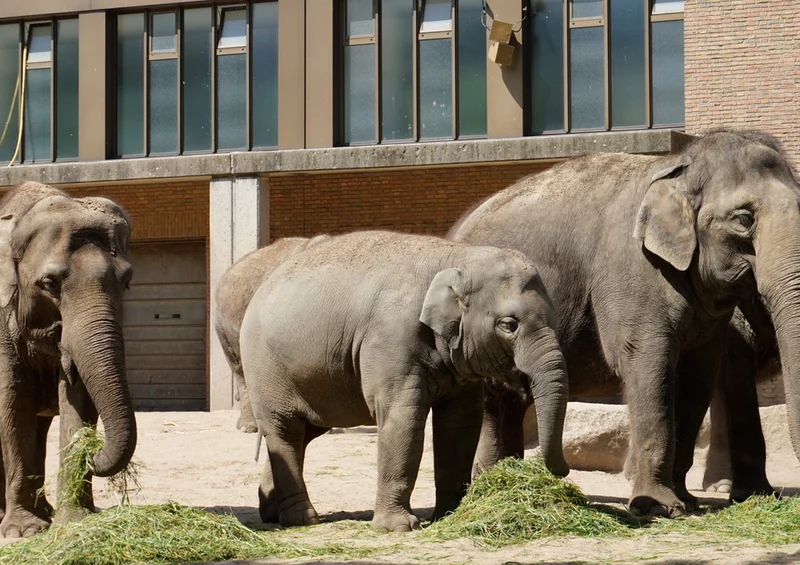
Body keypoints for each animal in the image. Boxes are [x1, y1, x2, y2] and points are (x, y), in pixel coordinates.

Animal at [0, 181, 136, 537]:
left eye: (127, 282)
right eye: (49, 284)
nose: (92, 450)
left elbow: (79, 397)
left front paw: (75, 521)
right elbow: (13, 403)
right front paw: (23, 531)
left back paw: (45, 512)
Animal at [239, 230, 569, 531]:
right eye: (509, 325)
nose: (562, 472)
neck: (456, 257)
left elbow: (461, 422)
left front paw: (449, 514)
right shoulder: (391, 339)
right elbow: (403, 418)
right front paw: (398, 527)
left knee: (305, 431)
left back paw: (272, 512)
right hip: (265, 367)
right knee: (285, 429)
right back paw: (303, 520)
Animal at [449, 130, 800, 517]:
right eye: (743, 219)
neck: (679, 169)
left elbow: (697, 379)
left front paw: (687, 501)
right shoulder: (632, 274)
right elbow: (648, 364)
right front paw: (659, 507)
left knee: (509, 399)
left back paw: (504, 479)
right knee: (492, 398)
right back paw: (487, 487)